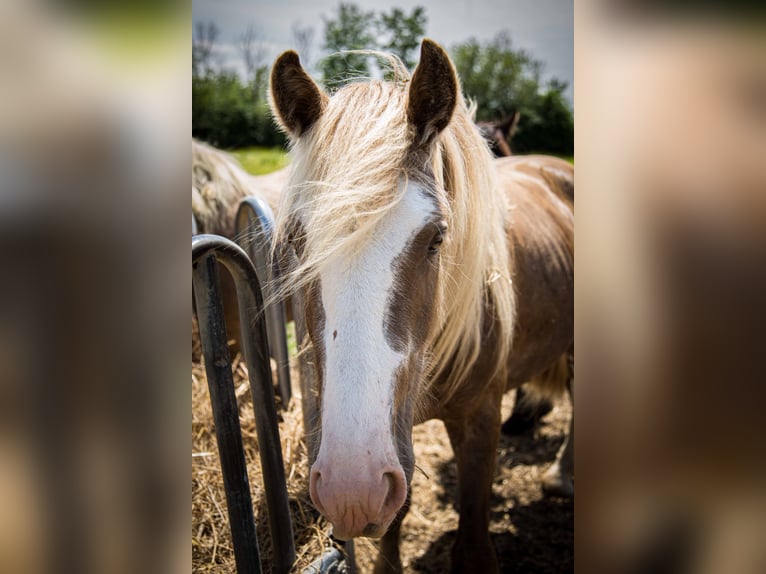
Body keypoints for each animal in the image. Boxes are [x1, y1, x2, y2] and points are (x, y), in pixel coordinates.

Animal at [269, 39, 573, 573]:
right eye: (296, 241)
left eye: (437, 238)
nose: (352, 491)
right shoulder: (396, 437)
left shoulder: (479, 421)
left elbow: (472, 544)